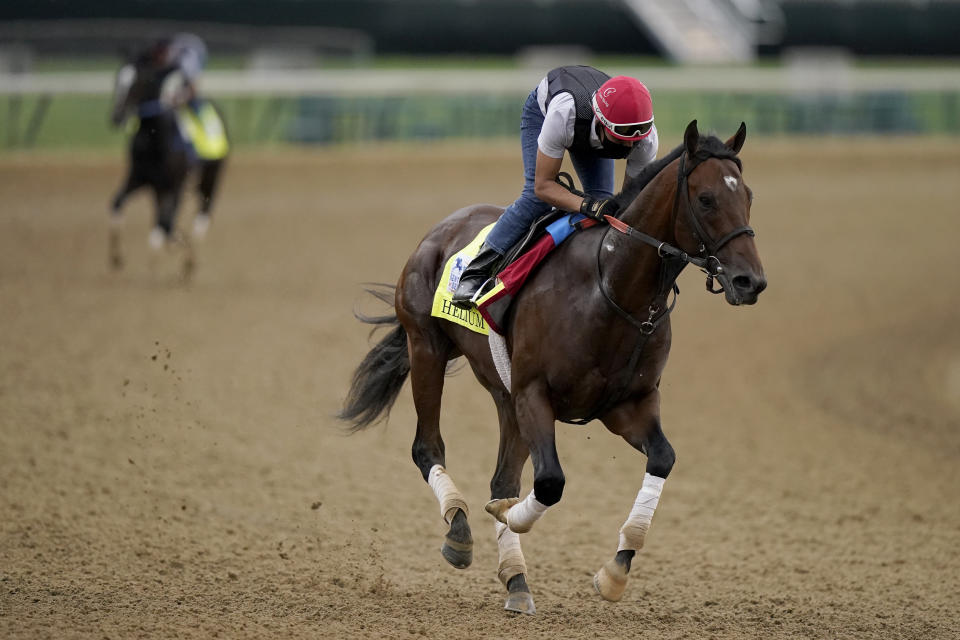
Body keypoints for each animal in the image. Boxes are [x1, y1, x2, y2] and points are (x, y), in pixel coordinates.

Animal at [108, 50, 228, 276]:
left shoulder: (175, 183)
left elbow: (165, 224)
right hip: (161, 188)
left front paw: (166, 255)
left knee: (203, 213)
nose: (116, 117)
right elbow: (117, 204)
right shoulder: (140, 177)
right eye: (117, 78)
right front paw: (117, 257)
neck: (155, 138)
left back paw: (191, 256)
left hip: (211, 175)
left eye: (138, 81)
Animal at [338, 121, 764, 616]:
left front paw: (614, 571)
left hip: (504, 394)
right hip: (427, 348)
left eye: (748, 194)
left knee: (502, 477)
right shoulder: (534, 394)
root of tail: (440, 230)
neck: (611, 286)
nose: (750, 281)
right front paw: (505, 516)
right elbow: (550, 483)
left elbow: (662, 458)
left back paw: (516, 580)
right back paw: (460, 531)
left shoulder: (627, 404)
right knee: (428, 448)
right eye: (706, 199)